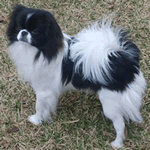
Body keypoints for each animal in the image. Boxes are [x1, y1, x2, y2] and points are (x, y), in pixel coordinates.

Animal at [7, 4, 146, 149]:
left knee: (119, 123)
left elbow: (39, 106)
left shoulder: (42, 90)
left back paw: (117, 143)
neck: (40, 50)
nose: (23, 32)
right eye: (19, 27)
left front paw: (36, 120)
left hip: (110, 102)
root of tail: (122, 58)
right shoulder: (51, 91)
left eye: (35, 32)